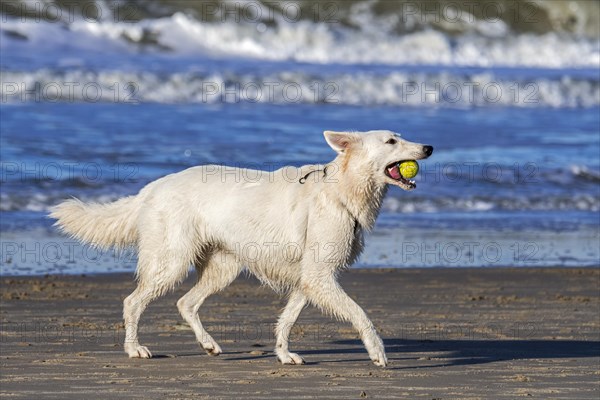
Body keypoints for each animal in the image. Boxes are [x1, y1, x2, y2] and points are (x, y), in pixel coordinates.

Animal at [50, 130, 432, 368]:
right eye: (391, 140)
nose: (428, 148)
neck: (341, 190)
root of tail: (151, 189)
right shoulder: (320, 277)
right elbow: (360, 314)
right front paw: (377, 352)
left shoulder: (309, 279)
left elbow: (287, 320)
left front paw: (283, 354)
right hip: (172, 261)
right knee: (133, 302)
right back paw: (134, 349)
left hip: (224, 267)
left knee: (185, 303)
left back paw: (208, 344)